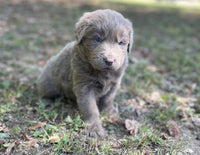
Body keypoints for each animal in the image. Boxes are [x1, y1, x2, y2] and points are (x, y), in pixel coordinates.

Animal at [37, 9, 134, 137]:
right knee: (44, 92)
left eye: (121, 43)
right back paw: (46, 101)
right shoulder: (84, 87)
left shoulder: (114, 84)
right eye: (97, 39)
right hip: (47, 82)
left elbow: (108, 99)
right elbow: (91, 109)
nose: (109, 61)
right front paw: (94, 129)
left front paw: (110, 113)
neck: (103, 73)